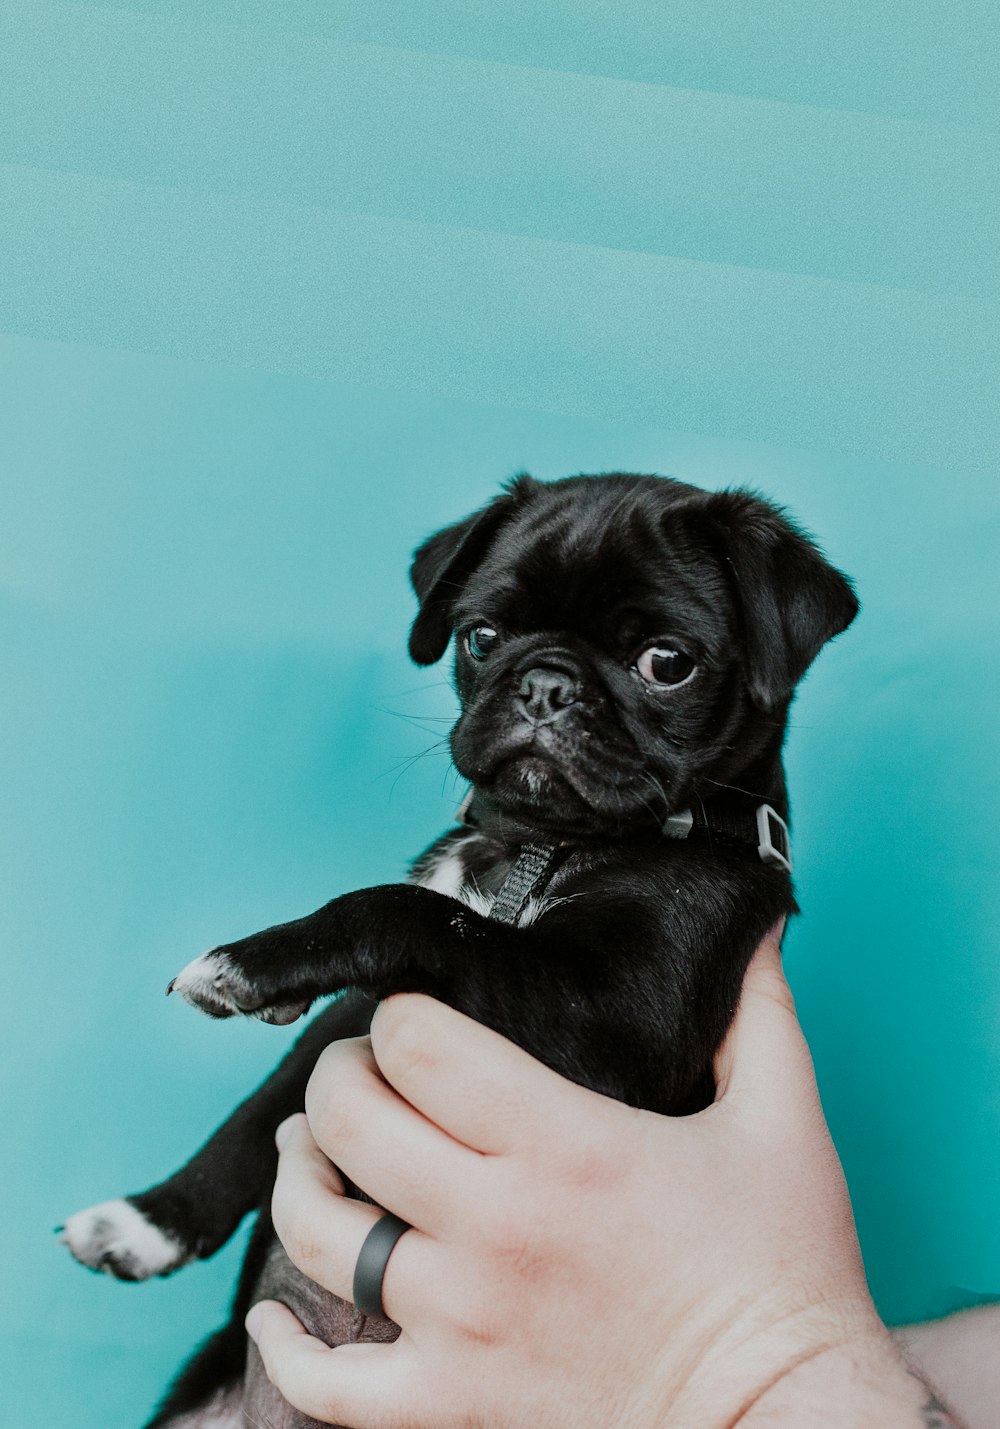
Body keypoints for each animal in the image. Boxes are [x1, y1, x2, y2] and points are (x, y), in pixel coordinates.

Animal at [64, 474, 857, 1423]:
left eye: (667, 662)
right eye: (481, 637)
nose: (545, 683)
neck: (542, 843)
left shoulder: (616, 1024)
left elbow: (397, 910)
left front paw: (253, 960)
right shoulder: (353, 1017)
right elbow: (257, 1113)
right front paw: (149, 1220)